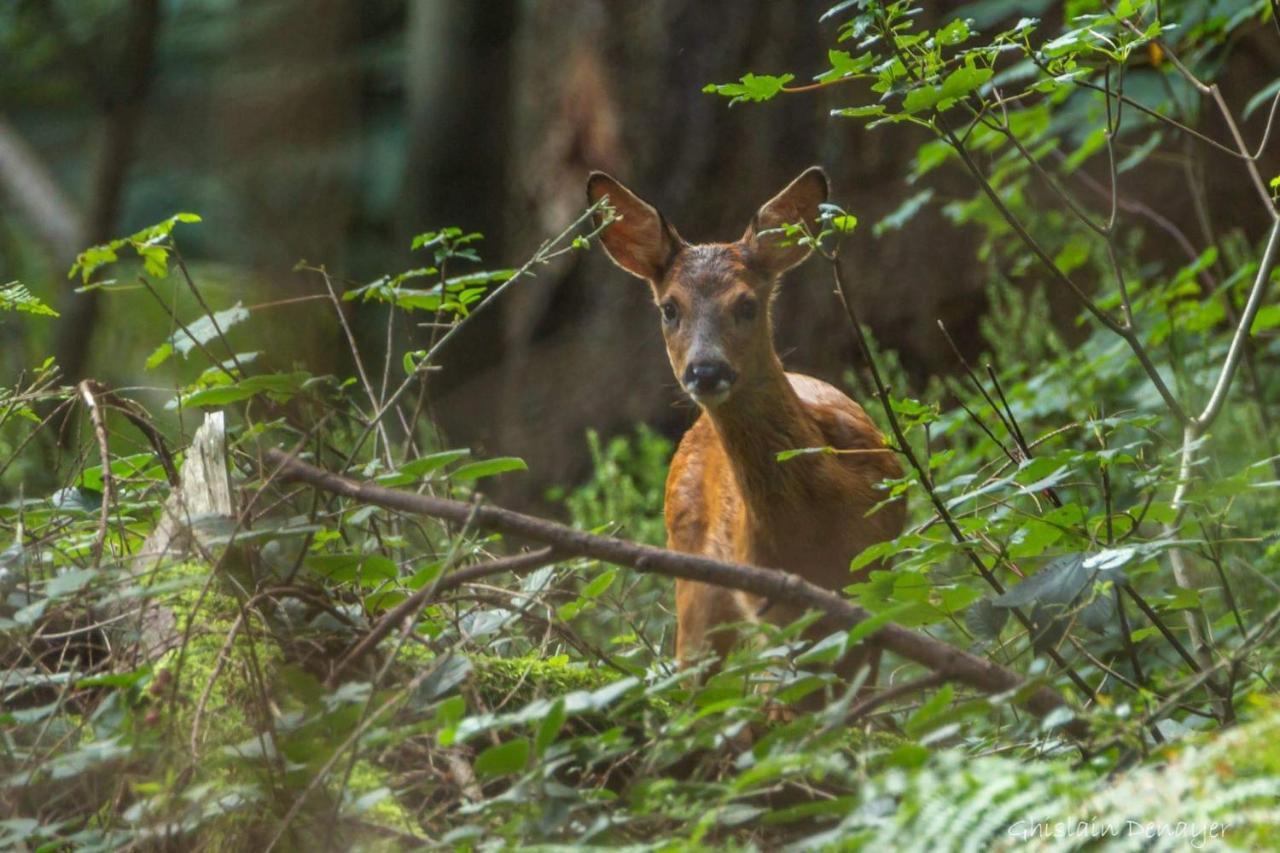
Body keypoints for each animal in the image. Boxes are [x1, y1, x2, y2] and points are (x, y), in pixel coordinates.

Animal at [586, 167, 906, 696]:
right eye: (669, 308)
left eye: (747, 304)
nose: (706, 370)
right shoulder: (773, 607)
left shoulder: (874, 581)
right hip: (694, 574)